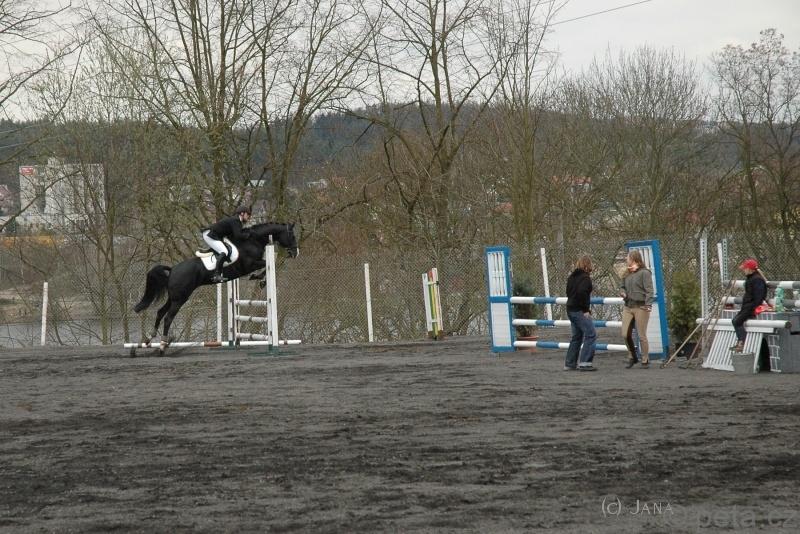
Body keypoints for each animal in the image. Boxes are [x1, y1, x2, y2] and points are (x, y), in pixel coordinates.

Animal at [132, 222, 298, 354]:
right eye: (292, 236)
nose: (295, 253)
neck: (252, 240)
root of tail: (172, 269)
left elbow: (267, 264)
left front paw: (260, 280)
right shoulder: (250, 264)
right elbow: (267, 264)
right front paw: (259, 279)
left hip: (174, 297)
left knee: (160, 312)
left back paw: (149, 339)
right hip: (180, 298)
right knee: (167, 317)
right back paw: (161, 346)